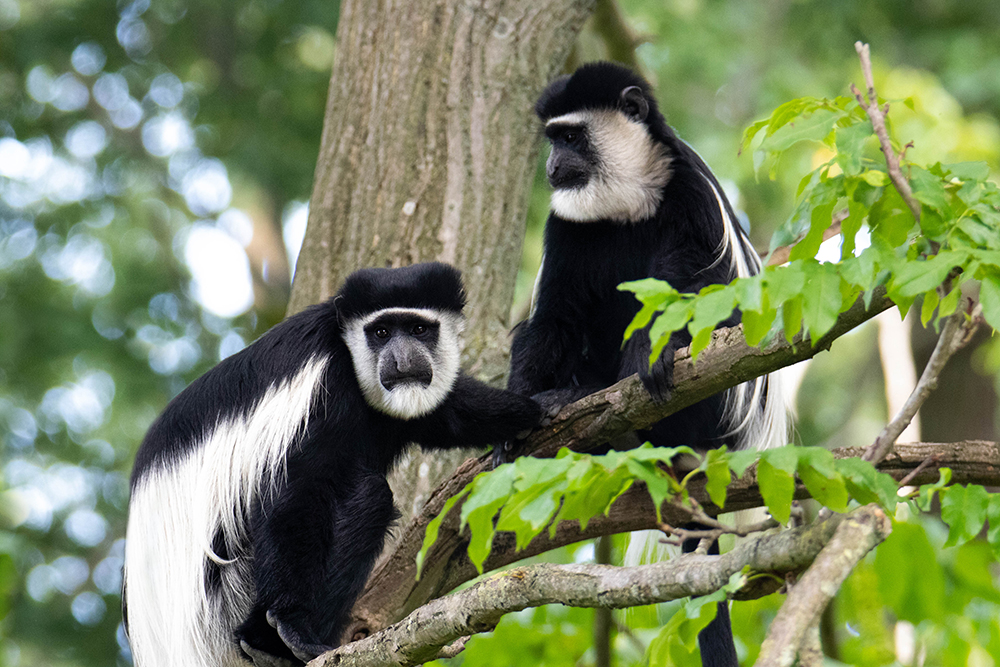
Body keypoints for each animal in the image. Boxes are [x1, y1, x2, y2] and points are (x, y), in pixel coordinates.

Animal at [127, 262, 548, 667]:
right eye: (380, 332)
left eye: (418, 328)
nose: (402, 359)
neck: (348, 355)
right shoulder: (320, 390)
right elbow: (294, 495)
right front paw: (290, 623)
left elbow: (442, 415)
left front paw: (537, 408)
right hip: (229, 592)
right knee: (363, 498)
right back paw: (268, 642)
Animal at [504, 62, 784, 667]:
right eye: (552, 137)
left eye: (571, 136)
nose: (551, 167)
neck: (626, 196)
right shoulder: (567, 222)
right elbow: (555, 317)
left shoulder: (691, 191)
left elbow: (705, 286)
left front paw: (647, 355)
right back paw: (572, 399)